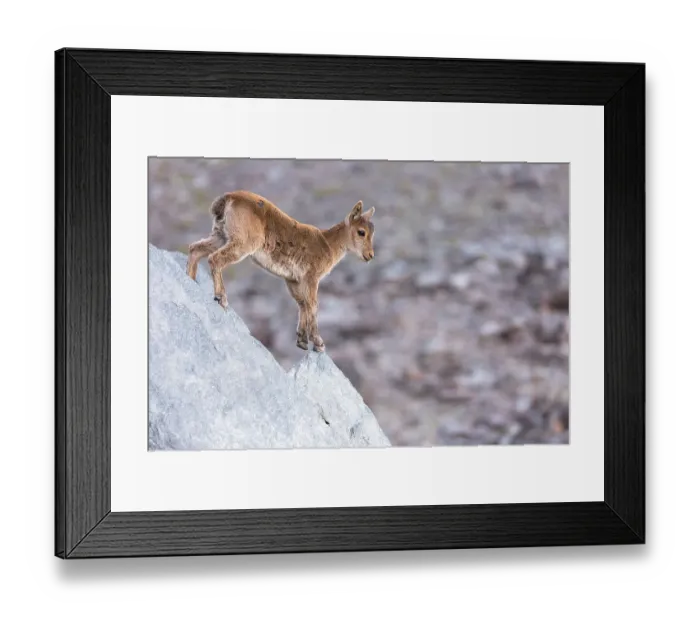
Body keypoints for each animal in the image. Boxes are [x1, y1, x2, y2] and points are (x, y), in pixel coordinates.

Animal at [186, 191, 376, 352]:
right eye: (361, 232)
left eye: (372, 232)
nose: (370, 255)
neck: (328, 244)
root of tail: (228, 198)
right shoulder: (311, 277)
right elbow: (313, 305)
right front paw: (319, 343)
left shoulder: (292, 279)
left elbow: (302, 303)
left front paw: (302, 340)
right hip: (243, 242)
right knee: (215, 259)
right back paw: (221, 298)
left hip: (220, 235)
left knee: (195, 249)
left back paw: (190, 280)